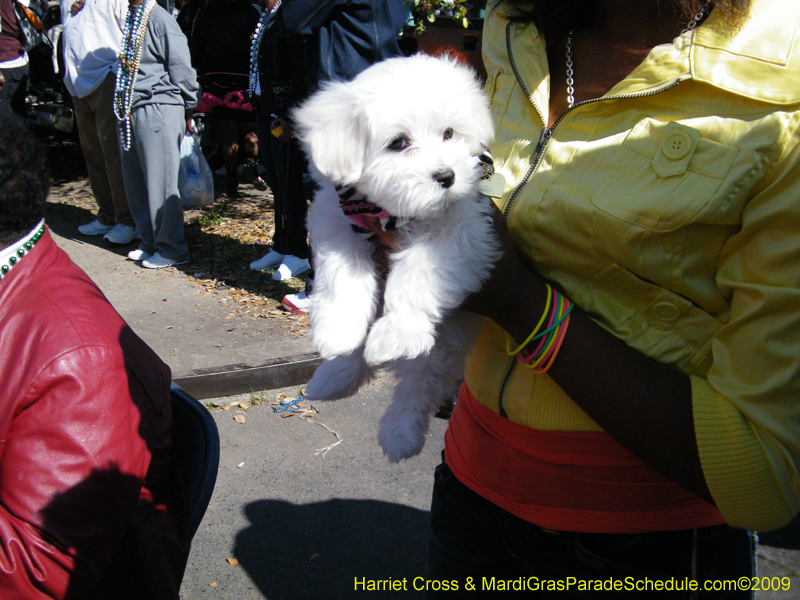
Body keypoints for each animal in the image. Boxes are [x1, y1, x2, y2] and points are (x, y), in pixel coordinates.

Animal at [294, 54, 500, 462]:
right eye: (398, 143)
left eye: (449, 134)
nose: (447, 176)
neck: (399, 214)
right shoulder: (338, 218)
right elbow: (342, 275)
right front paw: (337, 329)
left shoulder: (466, 230)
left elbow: (418, 273)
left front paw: (397, 331)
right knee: (360, 357)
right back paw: (333, 376)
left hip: (442, 346)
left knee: (420, 385)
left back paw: (400, 433)